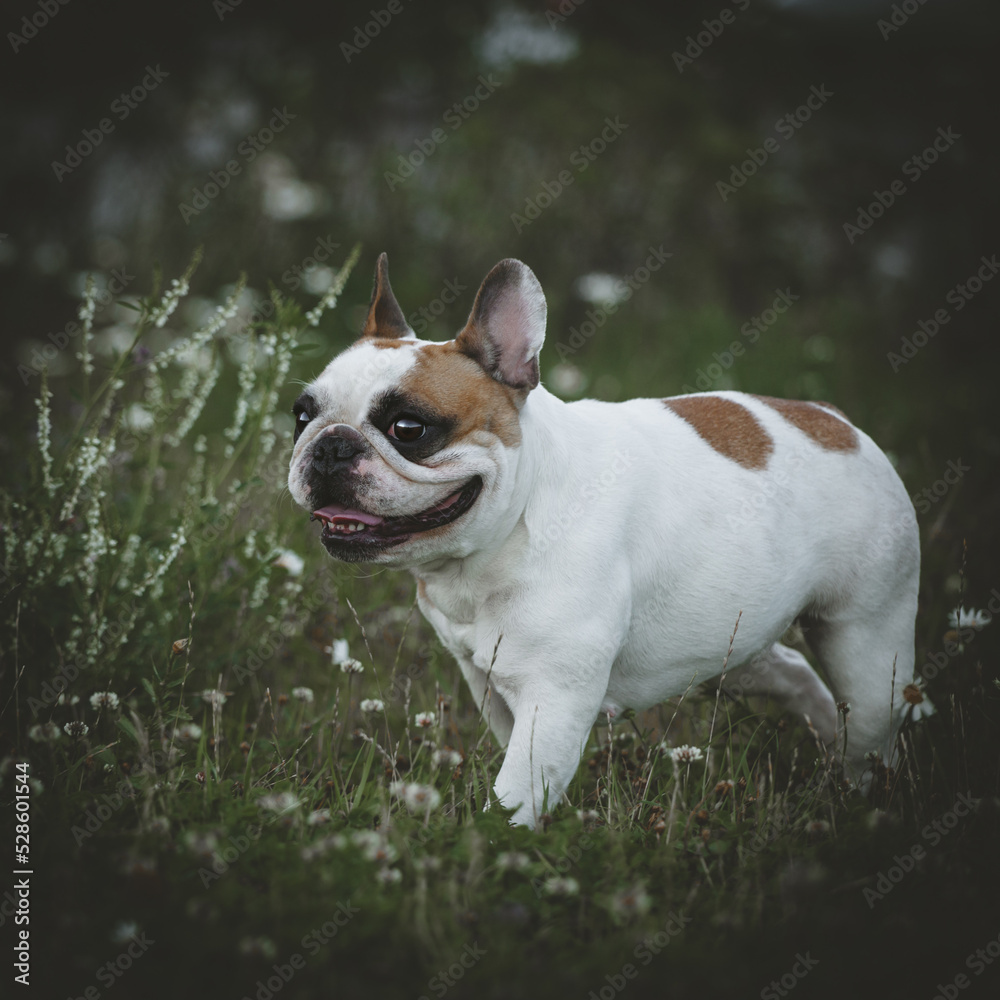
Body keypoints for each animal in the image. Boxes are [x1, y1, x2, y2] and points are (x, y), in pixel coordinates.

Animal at [286, 252, 916, 828]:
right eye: (301, 415)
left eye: (408, 429)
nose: (331, 444)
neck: (505, 534)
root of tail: (837, 422)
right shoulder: (487, 682)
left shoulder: (553, 697)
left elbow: (515, 794)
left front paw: (501, 844)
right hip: (729, 637)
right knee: (791, 670)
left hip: (866, 642)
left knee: (868, 722)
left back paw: (861, 797)